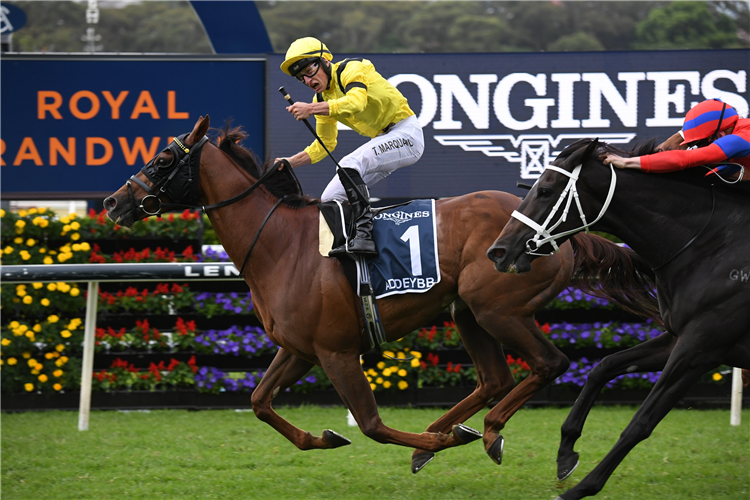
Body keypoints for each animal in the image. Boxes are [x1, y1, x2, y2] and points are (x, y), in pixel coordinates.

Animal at [104, 116, 656, 472]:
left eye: (162, 158)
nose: (112, 201)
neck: (281, 244)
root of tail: (564, 233)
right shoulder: (299, 349)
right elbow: (260, 402)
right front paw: (325, 436)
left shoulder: (336, 351)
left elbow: (370, 424)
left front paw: (432, 438)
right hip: (467, 311)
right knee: (495, 378)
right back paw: (444, 436)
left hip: (497, 307)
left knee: (548, 364)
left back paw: (482, 432)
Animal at [488, 138, 750, 500]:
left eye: (545, 190)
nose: (497, 251)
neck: (713, 245)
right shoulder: (678, 339)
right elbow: (605, 365)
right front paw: (566, 453)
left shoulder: (701, 348)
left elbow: (640, 422)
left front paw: (581, 488)